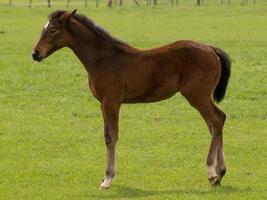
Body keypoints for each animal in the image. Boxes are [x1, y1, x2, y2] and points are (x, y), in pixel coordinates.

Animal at [31, 9, 232, 189]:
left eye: (53, 30)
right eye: (43, 28)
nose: (35, 53)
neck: (102, 59)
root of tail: (211, 49)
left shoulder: (111, 102)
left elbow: (111, 137)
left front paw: (107, 179)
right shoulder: (102, 104)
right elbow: (106, 135)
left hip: (197, 95)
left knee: (216, 120)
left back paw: (211, 172)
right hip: (200, 97)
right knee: (216, 123)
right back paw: (219, 174)